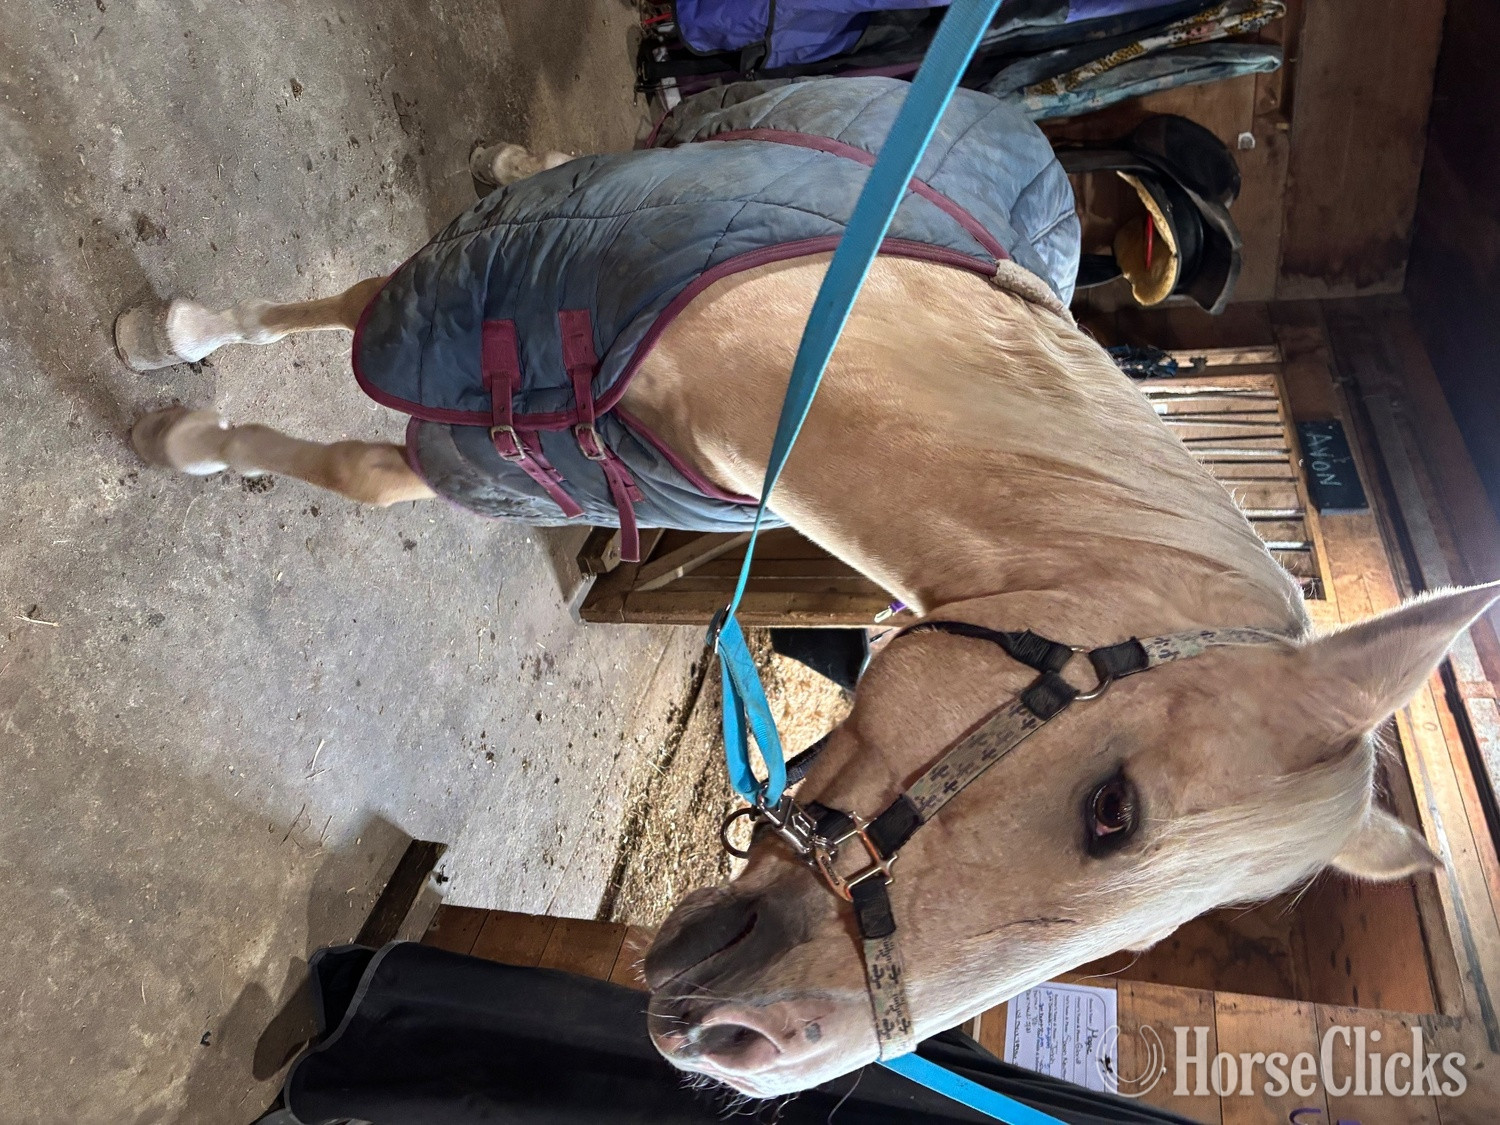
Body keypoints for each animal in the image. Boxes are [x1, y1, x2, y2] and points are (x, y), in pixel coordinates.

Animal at [115, 78, 1496, 1098]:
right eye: (1113, 812)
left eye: (1147, 946)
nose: (756, 1050)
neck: (825, 325)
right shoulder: (502, 310)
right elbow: (338, 355)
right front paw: (172, 372)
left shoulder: (559, 457)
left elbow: (370, 467)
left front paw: (186, 415)